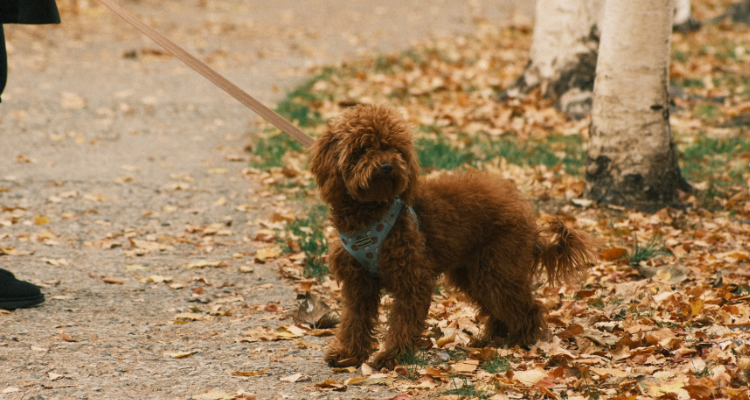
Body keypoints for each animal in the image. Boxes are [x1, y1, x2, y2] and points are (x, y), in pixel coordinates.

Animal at [308, 103, 596, 368]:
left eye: (396, 149)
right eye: (365, 148)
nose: (388, 166)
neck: (369, 211)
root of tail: (525, 210)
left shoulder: (413, 278)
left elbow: (402, 322)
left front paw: (392, 357)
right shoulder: (358, 283)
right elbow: (354, 320)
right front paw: (348, 354)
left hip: (498, 267)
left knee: (527, 306)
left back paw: (522, 340)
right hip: (475, 273)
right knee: (499, 307)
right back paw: (493, 339)